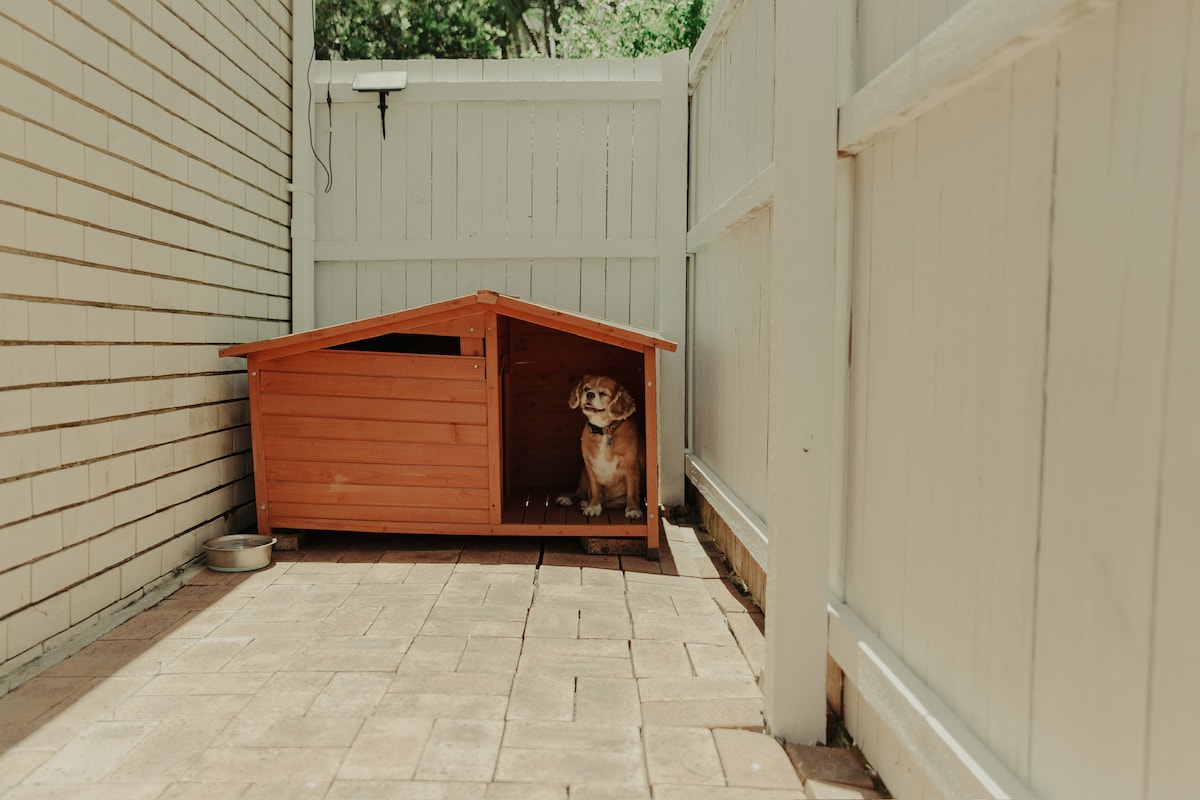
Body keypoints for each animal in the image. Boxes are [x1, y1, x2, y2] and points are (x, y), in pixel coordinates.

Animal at [555, 375, 645, 520]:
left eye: (603, 393)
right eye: (586, 389)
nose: (590, 394)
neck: (604, 430)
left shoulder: (631, 466)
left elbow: (632, 491)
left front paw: (633, 509)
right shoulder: (590, 466)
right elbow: (594, 490)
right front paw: (593, 507)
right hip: (583, 473)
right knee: (580, 493)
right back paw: (571, 499)